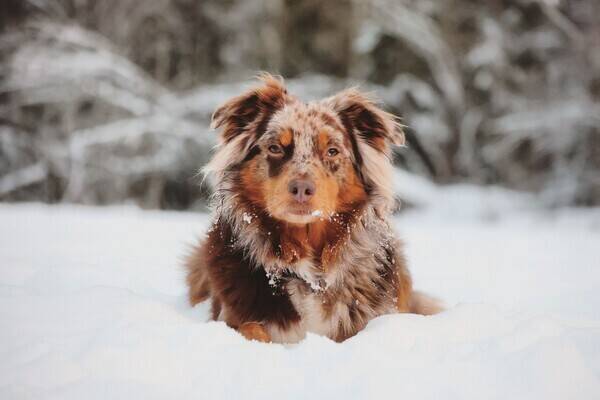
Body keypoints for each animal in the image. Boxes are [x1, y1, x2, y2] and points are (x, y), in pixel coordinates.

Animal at [185, 73, 442, 342]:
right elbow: (250, 329)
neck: (309, 275)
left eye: (332, 151)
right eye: (275, 147)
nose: (301, 189)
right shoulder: (231, 314)